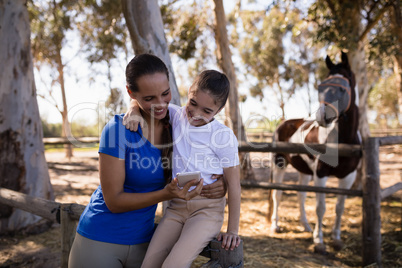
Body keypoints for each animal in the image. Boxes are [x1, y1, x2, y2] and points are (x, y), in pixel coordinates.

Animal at [268, 50, 360, 253]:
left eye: (343, 88)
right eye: (322, 87)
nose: (322, 116)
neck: (344, 142)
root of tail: (284, 123)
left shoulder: (348, 176)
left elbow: (339, 207)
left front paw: (336, 238)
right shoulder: (320, 173)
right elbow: (321, 207)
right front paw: (319, 241)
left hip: (304, 170)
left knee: (301, 195)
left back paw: (305, 226)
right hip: (279, 164)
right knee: (277, 194)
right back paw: (275, 226)